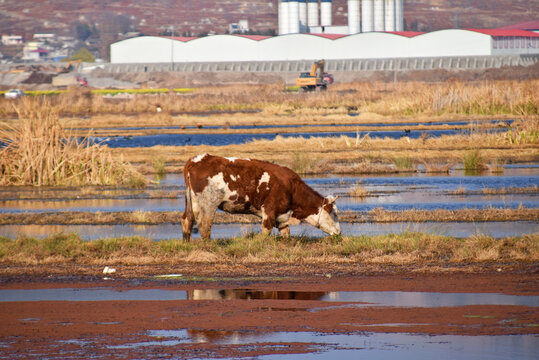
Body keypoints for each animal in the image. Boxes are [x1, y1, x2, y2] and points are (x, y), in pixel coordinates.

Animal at [181, 153, 342, 240]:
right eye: (334, 214)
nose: (339, 232)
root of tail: (197, 159)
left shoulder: (281, 215)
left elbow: (286, 232)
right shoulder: (269, 211)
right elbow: (266, 232)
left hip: (191, 201)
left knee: (187, 220)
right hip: (208, 204)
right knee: (204, 224)